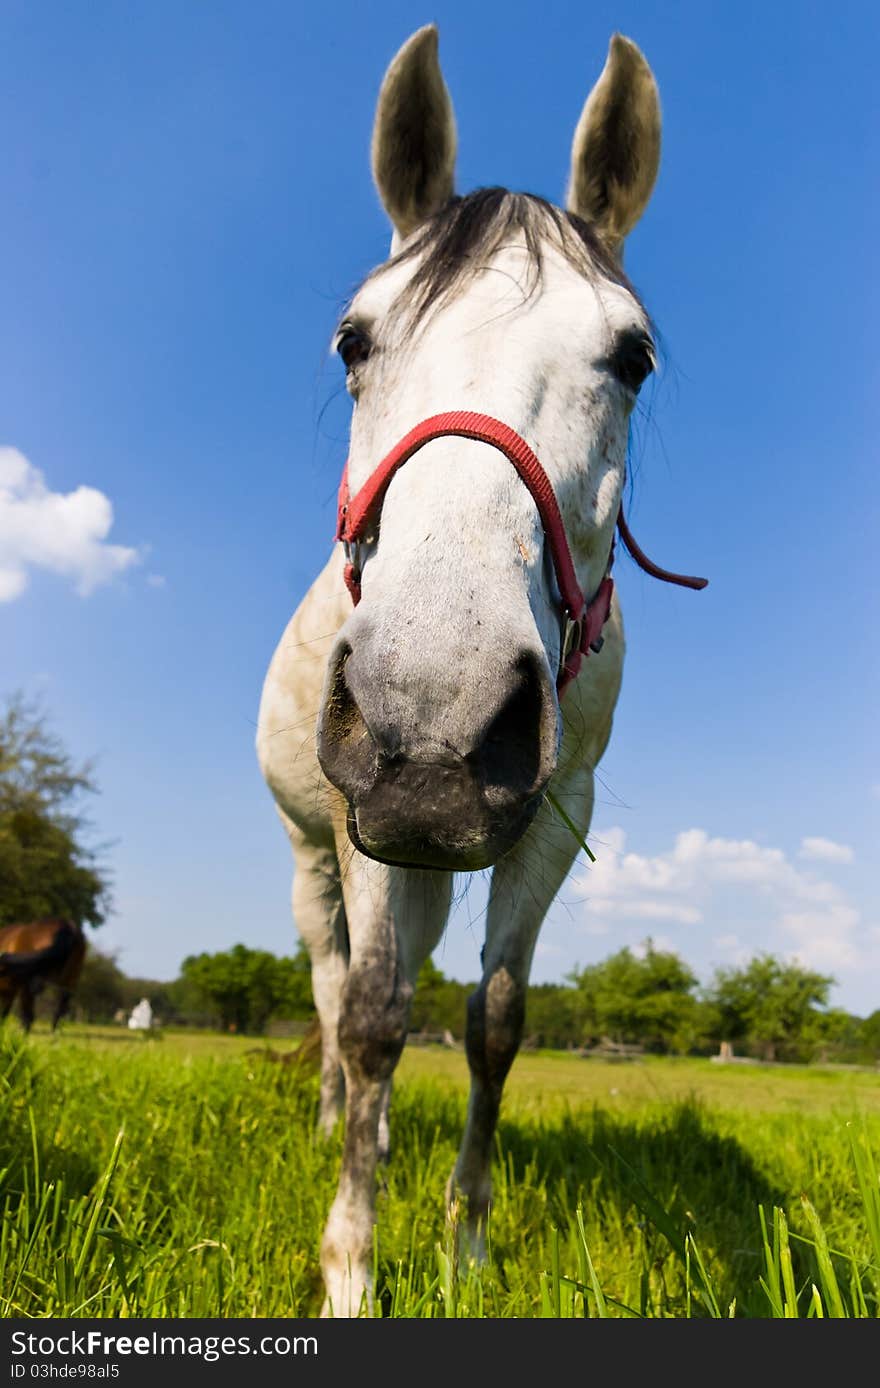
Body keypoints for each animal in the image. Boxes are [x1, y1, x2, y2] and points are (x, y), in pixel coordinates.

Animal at [254, 27, 699, 1315]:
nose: (431, 724)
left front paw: (464, 1246)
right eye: (353, 340)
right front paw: (351, 1267)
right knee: (332, 985)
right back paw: (335, 1127)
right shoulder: (360, 815)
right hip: (320, 850)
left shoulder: (550, 810)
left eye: (633, 357)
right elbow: (369, 1014)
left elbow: (492, 1020)